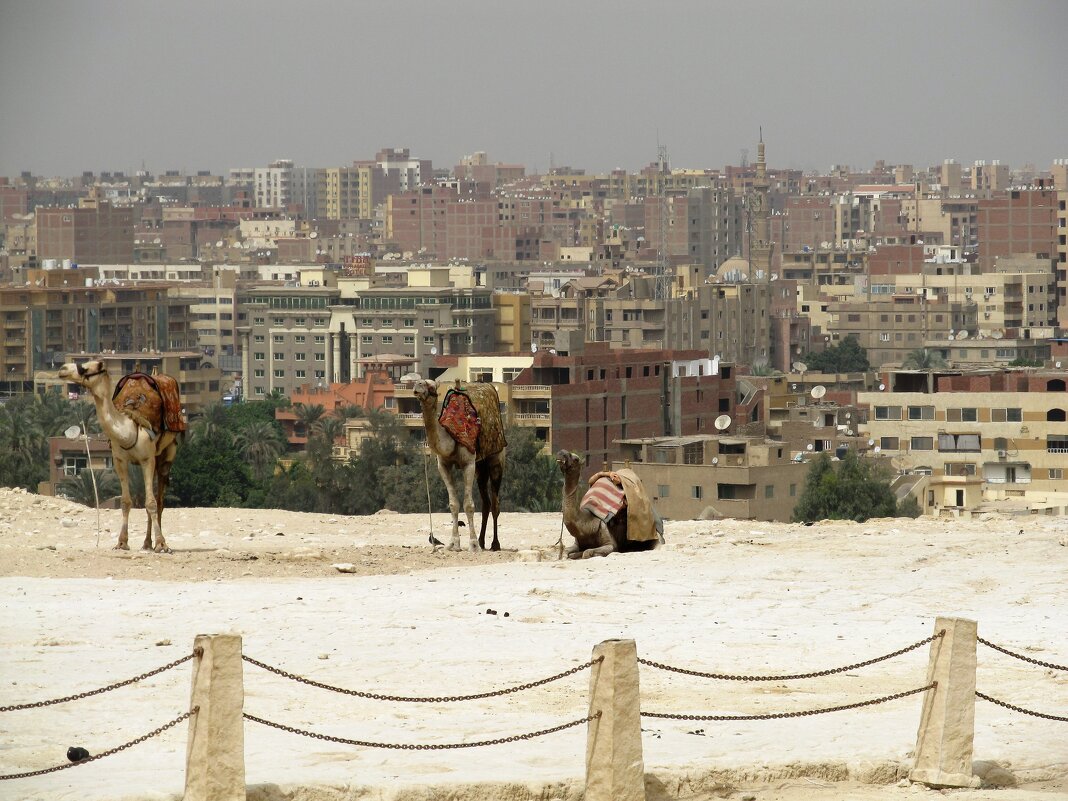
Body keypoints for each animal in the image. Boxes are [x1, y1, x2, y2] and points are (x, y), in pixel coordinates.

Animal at [56, 363, 184, 555]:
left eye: (86, 368)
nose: (62, 369)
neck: (128, 430)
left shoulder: (147, 459)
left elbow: (151, 503)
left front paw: (162, 545)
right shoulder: (119, 460)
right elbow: (125, 501)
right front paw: (122, 542)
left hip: (166, 453)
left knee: (160, 499)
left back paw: (156, 543)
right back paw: (147, 543)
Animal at [412, 380, 504, 551]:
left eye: (431, 386)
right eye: (417, 383)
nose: (417, 387)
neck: (452, 436)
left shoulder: (468, 463)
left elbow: (469, 505)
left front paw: (473, 545)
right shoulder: (443, 465)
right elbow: (453, 504)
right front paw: (453, 544)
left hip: (496, 458)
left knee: (495, 503)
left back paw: (494, 544)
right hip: (480, 467)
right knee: (486, 502)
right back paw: (482, 541)